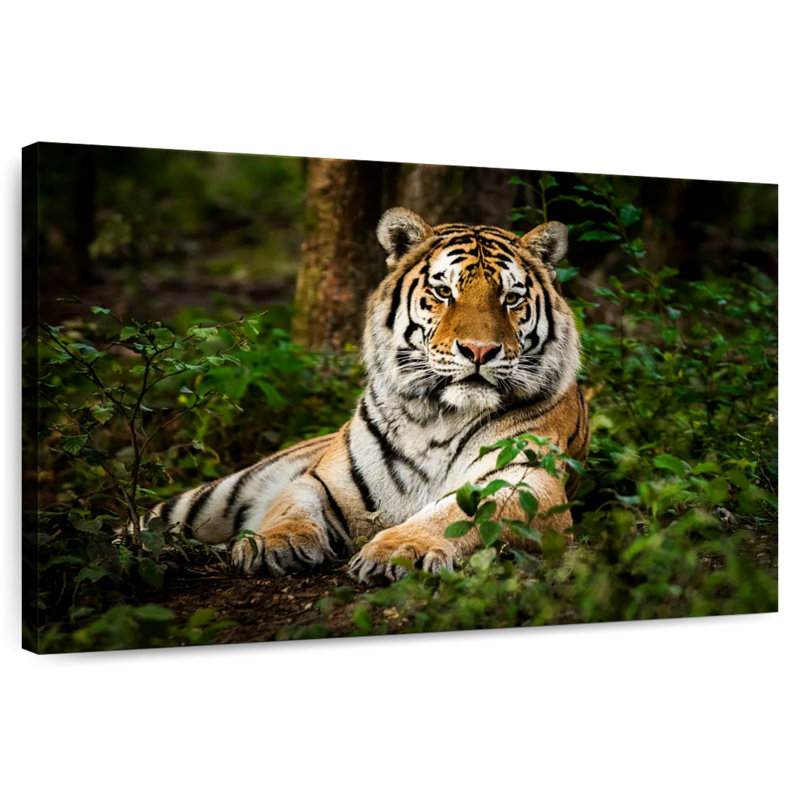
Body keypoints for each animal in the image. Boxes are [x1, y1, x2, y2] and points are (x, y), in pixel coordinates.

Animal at [140, 207, 590, 585]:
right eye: (444, 292)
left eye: (510, 298)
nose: (479, 351)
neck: (438, 416)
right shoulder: (322, 479)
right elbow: (290, 507)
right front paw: (274, 543)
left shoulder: (529, 481)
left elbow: (455, 513)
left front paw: (400, 549)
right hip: (212, 498)